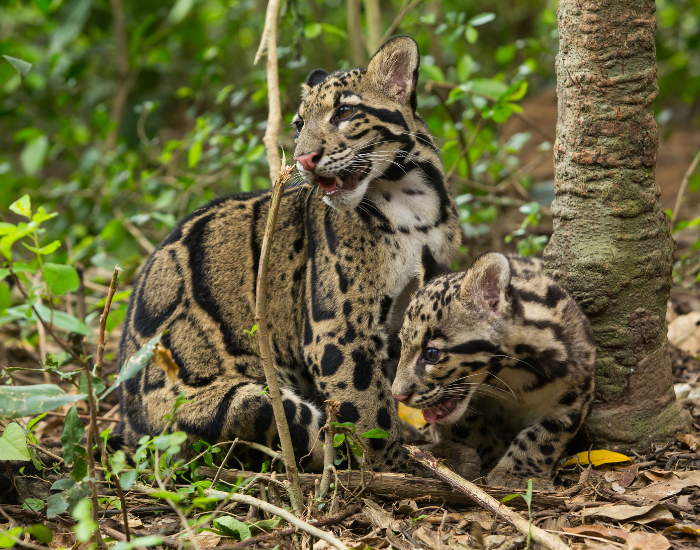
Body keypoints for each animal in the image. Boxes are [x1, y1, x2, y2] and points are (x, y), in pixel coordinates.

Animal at [114, 36, 461, 473]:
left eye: (344, 112)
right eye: (299, 125)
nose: (303, 158)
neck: (411, 200)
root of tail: (129, 429)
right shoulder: (338, 331)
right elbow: (369, 410)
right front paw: (393, 466)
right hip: (242, 403)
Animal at [392, 250, 596, 487]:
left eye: (431, 353)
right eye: (401, 344)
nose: (397, 396)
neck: (513, 376)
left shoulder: (576, 392)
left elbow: (546, 435)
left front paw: (517, 474)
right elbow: (466, 426)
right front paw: (491, 455)